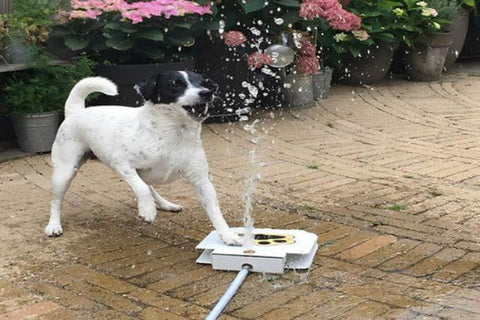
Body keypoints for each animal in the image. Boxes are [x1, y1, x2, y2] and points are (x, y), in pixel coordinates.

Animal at [44, 72, 242, 245]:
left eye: (204, 83)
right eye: (175, 84)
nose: (206, 93)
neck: (172, 134)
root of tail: (75, 112)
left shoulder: (202, 181)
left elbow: (215, 212)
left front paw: (228, 236)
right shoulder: (122, 164)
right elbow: (141, 188)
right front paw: (147, 210)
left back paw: (166, 204)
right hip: (64, 173)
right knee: (55, 201)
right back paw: (54, 225)